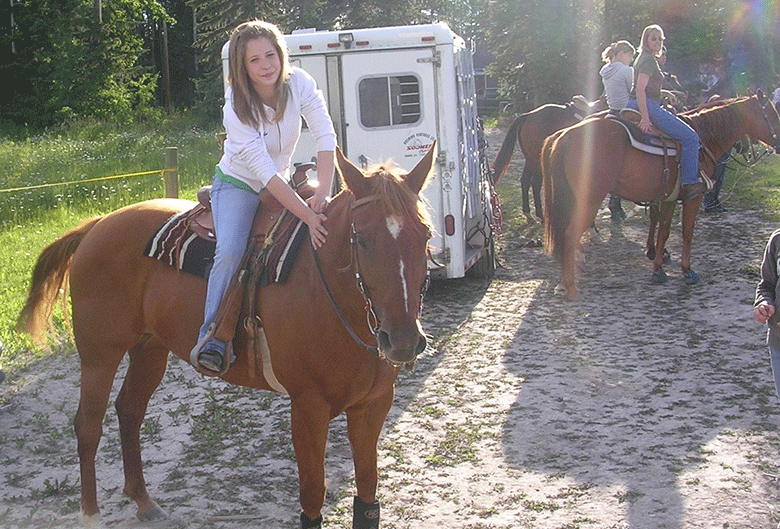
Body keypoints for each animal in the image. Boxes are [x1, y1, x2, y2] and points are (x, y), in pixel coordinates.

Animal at [16, 145, 438, 528]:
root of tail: (99, 223)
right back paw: (89, 513)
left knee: (129, 411)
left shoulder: (373, 406)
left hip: (150, 350)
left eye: (425, 235)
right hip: (100, 354)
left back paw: (144, 501)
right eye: (362, 239)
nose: (402, 340)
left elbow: (367, 495)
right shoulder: (308, 408)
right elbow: (312, 498)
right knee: (88, 425)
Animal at [544, 92, 780, 302]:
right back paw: (571, 287)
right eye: (772, 113)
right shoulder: (693, 197)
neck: (703, 137)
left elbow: (663, 232)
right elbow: (687, 232)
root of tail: (563, 135)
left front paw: (658, 269)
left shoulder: (668, 198)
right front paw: (687, 270)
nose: (778, 144)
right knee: (570, 234)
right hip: (589, 200)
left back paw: (563, 282)